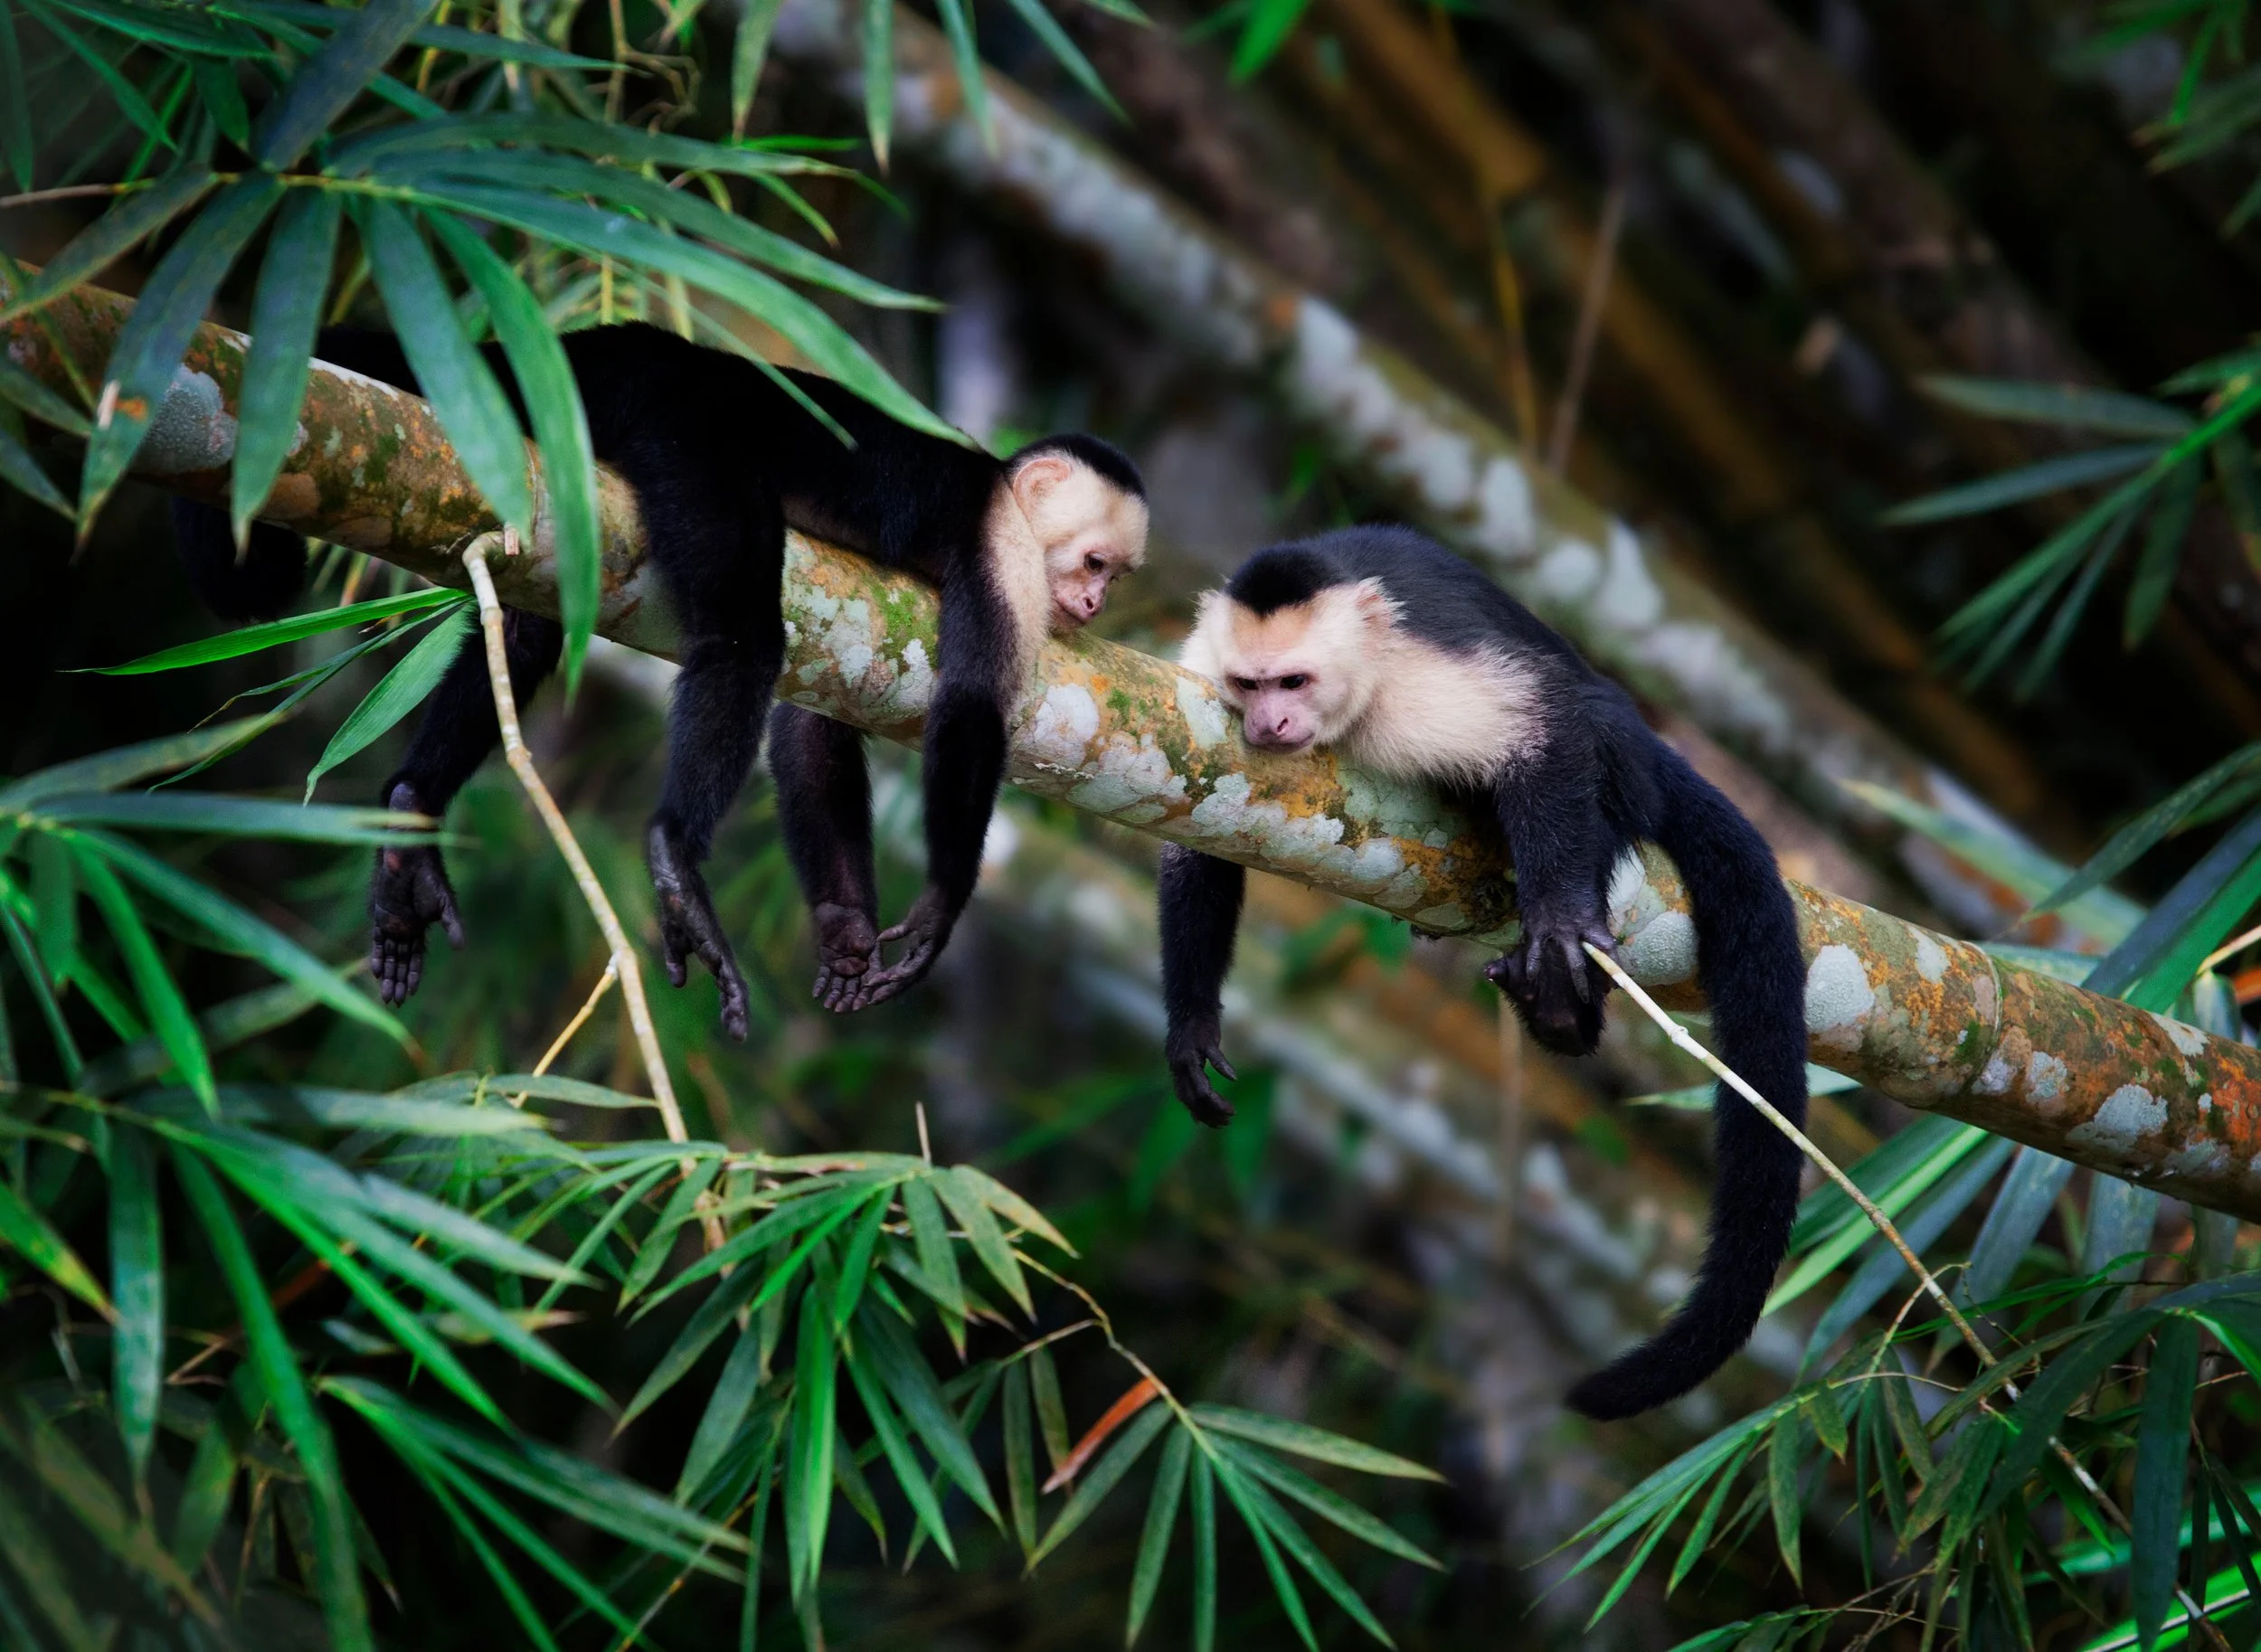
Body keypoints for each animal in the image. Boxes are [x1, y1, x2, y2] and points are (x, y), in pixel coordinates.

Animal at [172, 322, 1147, 1035]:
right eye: (1097, 562)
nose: (1097, 602)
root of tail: (632, 346)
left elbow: (811, 731)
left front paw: (843, 927)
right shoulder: (1006, 551)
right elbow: (971, 705)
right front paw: (942, 907)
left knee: (529, 625)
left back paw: (414, 804)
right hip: (684, 433)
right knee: (742, 639)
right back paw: (675, 852)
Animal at [1156, 525, 1808, 1420]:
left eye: (1294, 681)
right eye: (1248, 684)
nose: (1268, 721)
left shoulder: (1414, 686)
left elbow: (1544, 730)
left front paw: (1560, 918)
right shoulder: (1200, 679)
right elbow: (1197, 837)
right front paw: (1190, 1023)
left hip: (1628, 752)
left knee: (1590, 726)